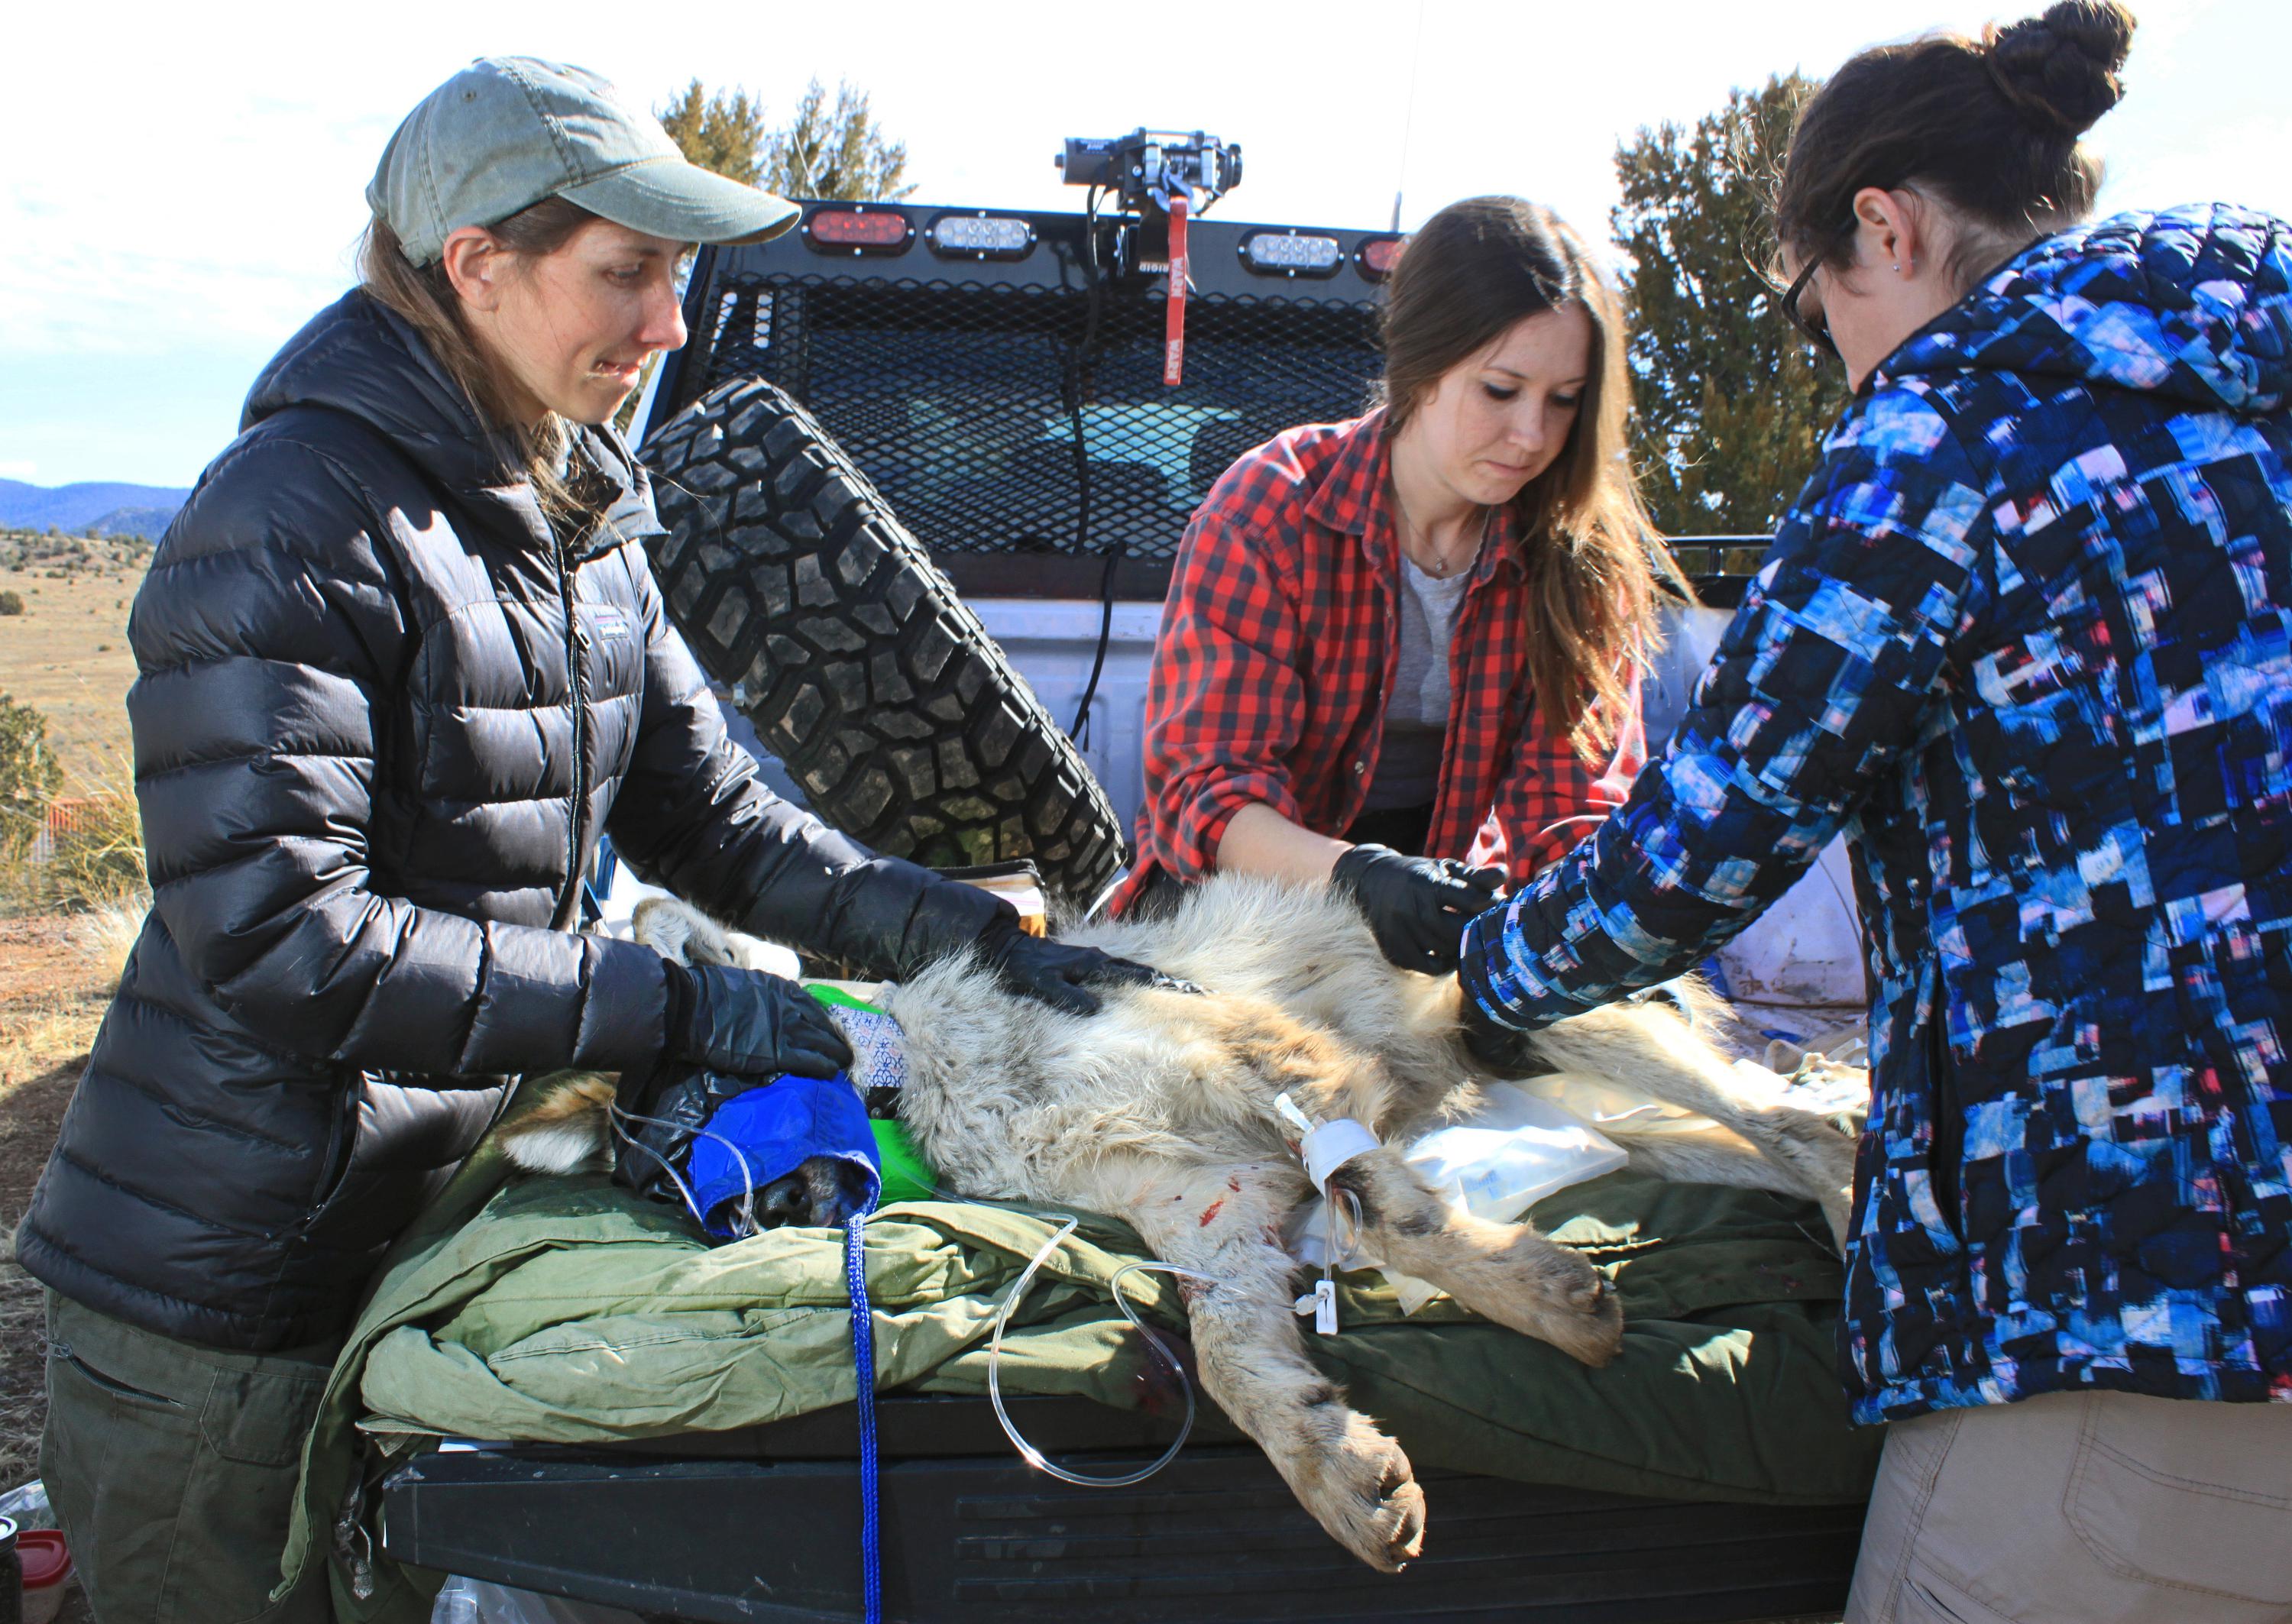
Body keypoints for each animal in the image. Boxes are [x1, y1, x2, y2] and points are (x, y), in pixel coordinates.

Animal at [504, 873, 1860, 1571]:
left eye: (706, 1096)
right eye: (664, 1187)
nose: (751, 1219)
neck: (928, 1074)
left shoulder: (1277, 1068)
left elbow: (1391, 1216)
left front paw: (1542, 1306)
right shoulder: (1210, 1207)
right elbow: (1233, 1359)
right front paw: (1334, 1463)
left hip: (1547, 1017)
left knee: (1803, 1125)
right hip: (1599, 1108)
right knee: (1772, 1140)